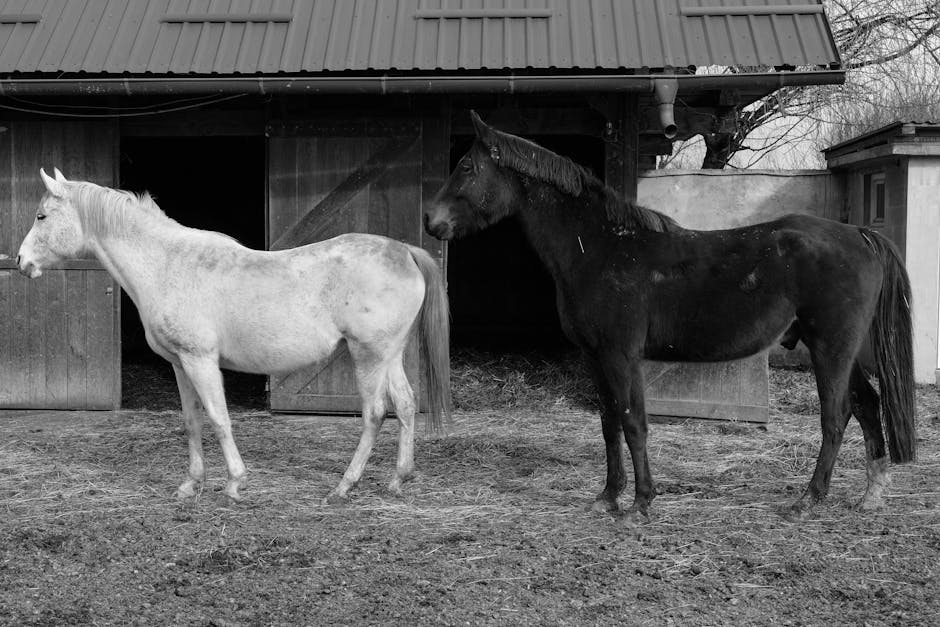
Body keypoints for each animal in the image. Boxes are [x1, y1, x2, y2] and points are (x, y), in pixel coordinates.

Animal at [16, 169, 452, 502]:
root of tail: (405, 251)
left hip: (368, 356)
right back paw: (398, 479)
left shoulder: (201, 360)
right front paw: (190, 485)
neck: (167, 264)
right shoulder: (180, 364)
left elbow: (218, 417)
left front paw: (234, 484)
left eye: (41, 216)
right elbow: (192, 421)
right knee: (406, 405)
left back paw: (344, 487)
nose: (21, 262)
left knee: (375, 413)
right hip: (389, 355)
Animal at [430, 110, 916, 524]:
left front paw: (640, 504)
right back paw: (871, 495)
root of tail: (858, 234)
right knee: (867, 405)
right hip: (838, 351)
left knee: (836, 416)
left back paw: (808, 500)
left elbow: (633, 423)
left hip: (831, 349)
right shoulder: (595, 357)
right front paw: (609, 496)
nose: (433, 222)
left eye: (467, 167)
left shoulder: (622, 356)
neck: (602, 248)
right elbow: (608, 424)